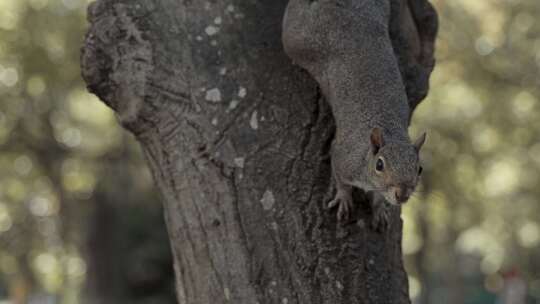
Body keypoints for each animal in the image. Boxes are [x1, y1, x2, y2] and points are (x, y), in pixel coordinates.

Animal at [282, 0, 426, 228]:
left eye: (419, 169)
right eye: (379, 165)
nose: (402, 195)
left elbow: (378, 198)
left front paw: (379, 209)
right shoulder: (343, 156)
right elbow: (340, 179)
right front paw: (344, 198)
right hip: (298, 36)